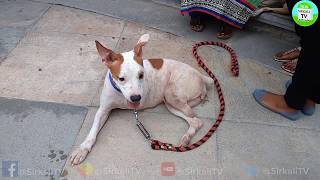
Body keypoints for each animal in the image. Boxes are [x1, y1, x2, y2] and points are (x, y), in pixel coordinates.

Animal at [69, 33, 212, 165]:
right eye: (121, 78)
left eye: (141, 75)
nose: (136, 98)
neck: (121, 94)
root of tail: (200, 75)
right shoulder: (103, 110)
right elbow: (92, 132)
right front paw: (82, 149)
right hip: (169, 104)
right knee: (196, 121)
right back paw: (186, 138)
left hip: (171, 95)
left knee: (193, 116)